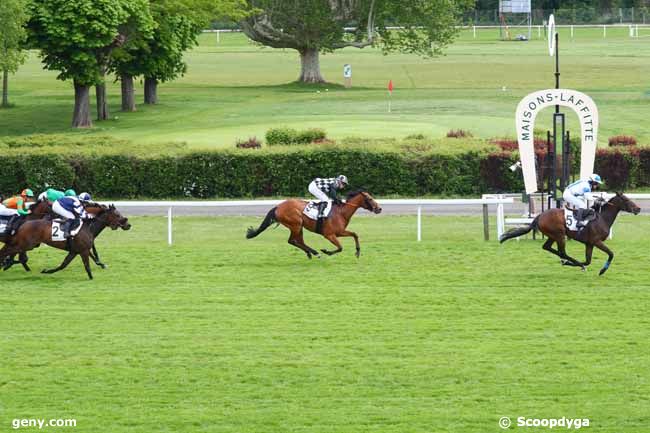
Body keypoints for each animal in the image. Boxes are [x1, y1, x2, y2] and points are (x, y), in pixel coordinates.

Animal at [0, 203, 130, 280]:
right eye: (117, 214)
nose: (128, 225)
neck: (88, 227)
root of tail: (23, 224)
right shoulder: (83, 250)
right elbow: (87, 265)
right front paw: (92, 277)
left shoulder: (75, 251)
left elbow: (63, 265)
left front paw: (47, 271)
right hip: (26, 245)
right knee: (8, 252)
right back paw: (6, 264)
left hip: (24, 244)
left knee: (9, 251)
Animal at [247, 188, 380, 256]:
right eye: (369, 198)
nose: (379, 209)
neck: (341, 212)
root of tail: (278, 206)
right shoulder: (329, 235)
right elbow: (340, 247)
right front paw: (326, 251)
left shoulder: (339, 232)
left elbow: (354, 234)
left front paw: (357, 252)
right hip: (296, 224)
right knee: (292, 241)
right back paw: (315, 252)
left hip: (298, 226)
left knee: (298, 241)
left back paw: (311, 253)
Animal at [502, 194, 636, 276]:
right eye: (627, 200)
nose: (638, 209)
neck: (602, 218)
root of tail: (539, 216)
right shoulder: (597, 241)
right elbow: (611, 254)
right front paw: (602, 270)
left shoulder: (589, 244)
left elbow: (588, 260)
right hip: (560, 235)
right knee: (562, 252)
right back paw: (570, 262)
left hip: (553, 236)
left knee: (547, 247)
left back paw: (567, 262)